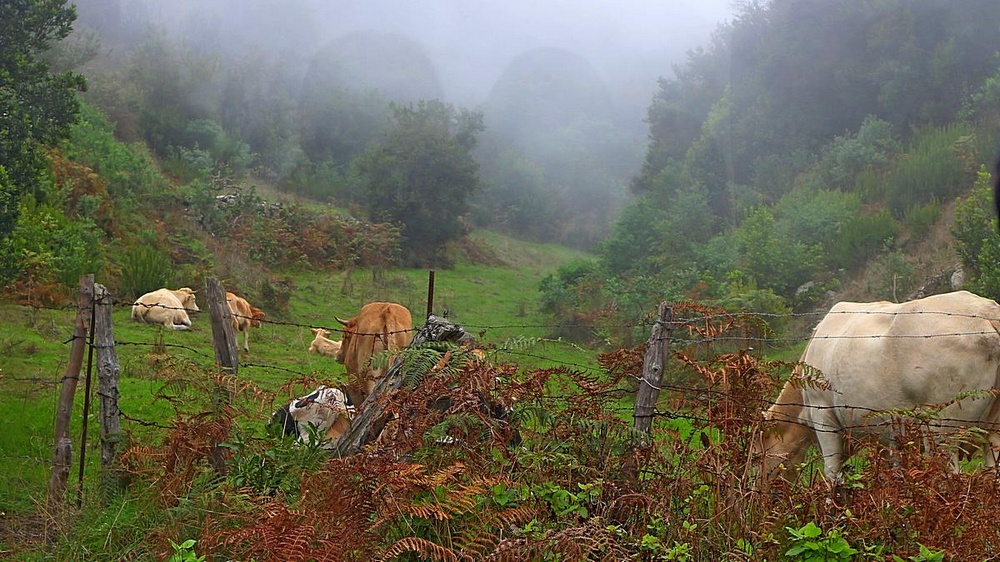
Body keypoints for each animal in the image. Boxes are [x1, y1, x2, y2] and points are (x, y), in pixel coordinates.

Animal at [752, 288, 1000, 482]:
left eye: (755, 456)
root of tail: (987, 311)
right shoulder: (889, 440)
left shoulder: (823, 417)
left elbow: (833, 477)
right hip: (992, 430)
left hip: (942, 428)